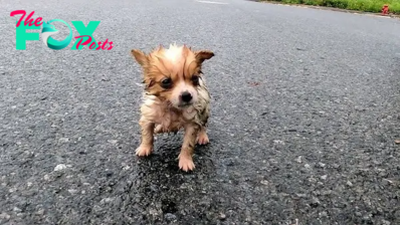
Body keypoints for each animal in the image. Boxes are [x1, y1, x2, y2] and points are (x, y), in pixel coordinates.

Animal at [130, 43, 214, 171]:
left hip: (204, 109)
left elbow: (187, 144)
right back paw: (159, 128)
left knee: (203, 124)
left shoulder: (192, 122)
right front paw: (144, 148)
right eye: (166, 81)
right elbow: (147, 134)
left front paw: (185, 161)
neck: (171, 106)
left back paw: (202, 136)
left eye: (195, 78)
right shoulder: (148, 116)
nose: (187, 95)